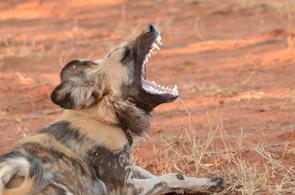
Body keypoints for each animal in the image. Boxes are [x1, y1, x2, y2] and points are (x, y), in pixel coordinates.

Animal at [0, 25, 223, 194]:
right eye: (125, 55)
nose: (150, 27)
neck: (106, 118)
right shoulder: (126, 188)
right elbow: (173, 176)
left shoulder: (132, 170)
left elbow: (156, 173)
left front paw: (206, 182)